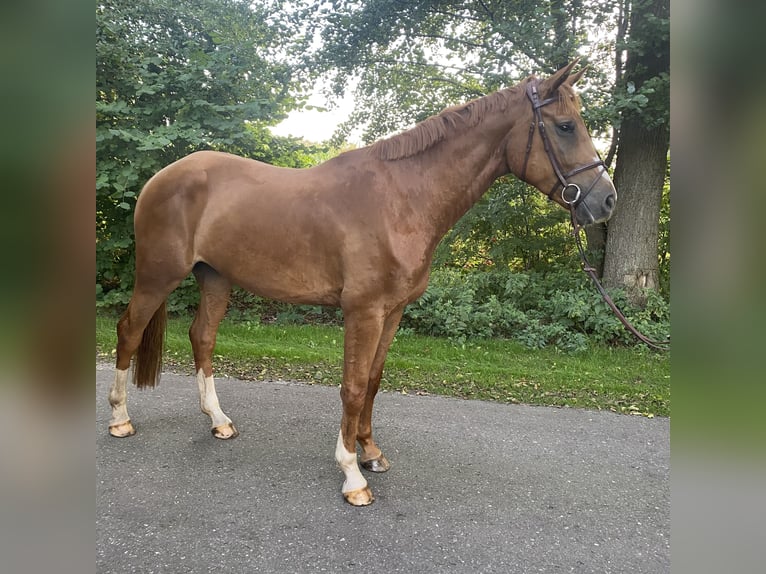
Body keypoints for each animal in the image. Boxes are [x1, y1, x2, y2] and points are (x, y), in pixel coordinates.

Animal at [106, 60, 616, 506]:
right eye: (565, 126)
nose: (605, 201)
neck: (401, 199)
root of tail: (160, 177)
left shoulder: (392, 311)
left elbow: (372, 380)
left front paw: (371, 453)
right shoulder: (363, 311)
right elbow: (351, 386)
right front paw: (351, 473)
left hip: (215, 279)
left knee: (202, 337)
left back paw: (218, 420)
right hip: (157, 275)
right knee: (129, 330)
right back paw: (120, 419)